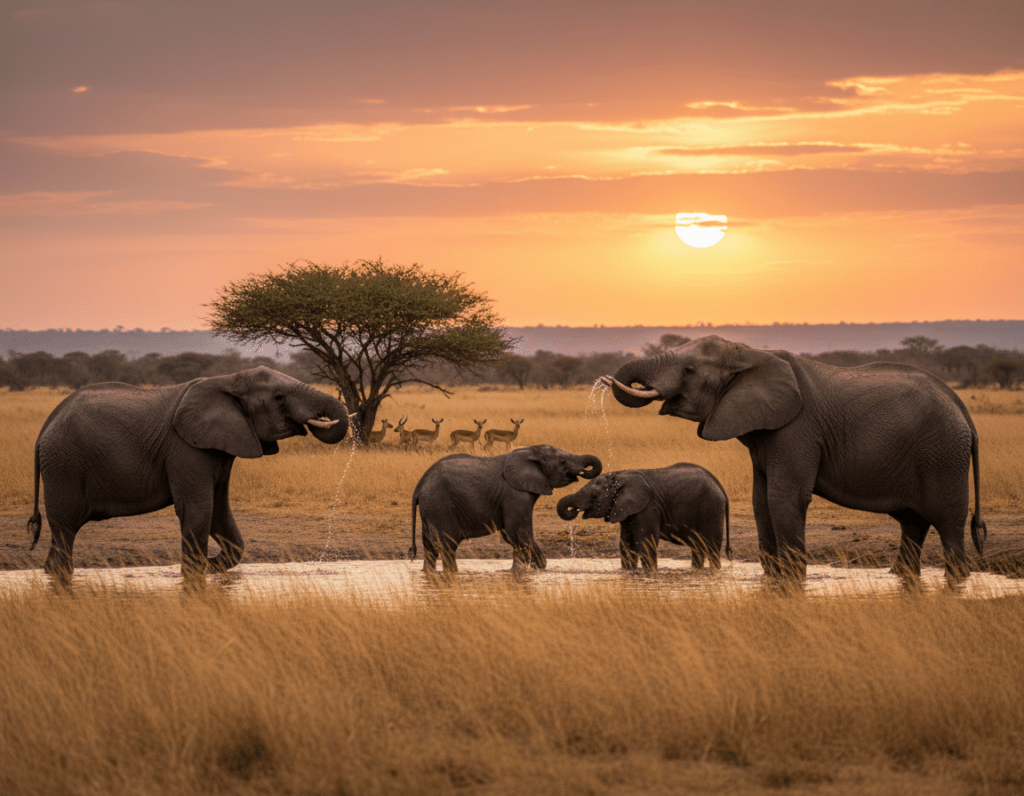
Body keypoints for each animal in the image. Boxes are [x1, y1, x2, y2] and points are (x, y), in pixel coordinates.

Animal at [27, 366, 349, 584]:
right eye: (280, 397)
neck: (230, 379)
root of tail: (43, 430)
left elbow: (219, 511)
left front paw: (212, 566)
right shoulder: (186, 447)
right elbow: (199, 509)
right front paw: (198, 572)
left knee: (61, 534)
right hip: (64, 465)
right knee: (65, 527)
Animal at [410, 445, 603, 573]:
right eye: (562, 462)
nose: (583, 472)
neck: (530, 452)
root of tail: (418, 487)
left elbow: (511, 536)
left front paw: (528, 570)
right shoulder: (515, 494)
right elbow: (519, 532)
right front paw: (527, 570)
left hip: (431, 510)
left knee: (430, 548)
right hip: (440, 506)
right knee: (448, 546)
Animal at [556, 463, 731, 571]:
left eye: (594, 496)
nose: (573, 510)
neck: (620, 475)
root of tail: (719, 485)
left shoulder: (648, 507)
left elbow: (645, 543)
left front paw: (650, 574)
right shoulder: (626, 510)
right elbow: (626, 544)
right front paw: (629, 573)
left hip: (711, 508)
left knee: (712, 547)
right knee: (698, 547)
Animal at [602, 335, 986, 584]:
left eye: (690, 370)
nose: (604, 379)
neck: (751, 353)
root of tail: (966, 416)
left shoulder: (797, 429)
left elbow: (784, 497)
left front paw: (791, 581)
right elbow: (761, 500)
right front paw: (772, 580)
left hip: (943, 456)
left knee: (947, 521)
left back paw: (957, 580)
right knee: (913, 522)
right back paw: (902, 577)